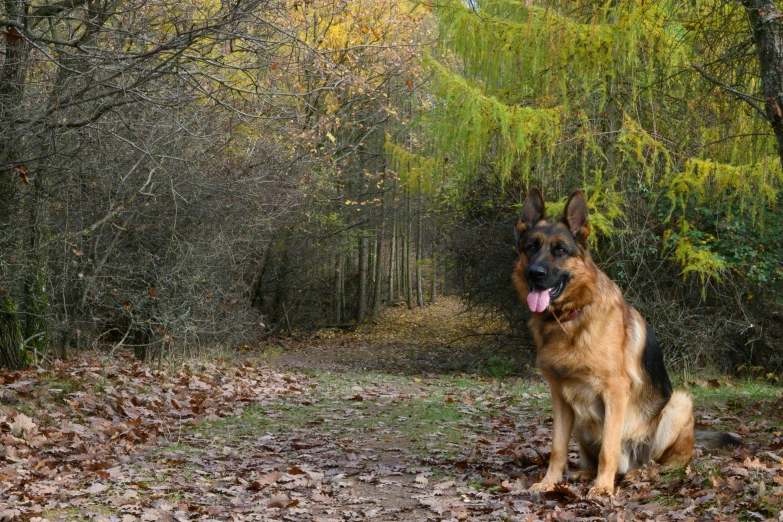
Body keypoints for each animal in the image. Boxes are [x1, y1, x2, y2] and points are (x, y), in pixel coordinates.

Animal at [516, 188, 740, 496]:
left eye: (560, 250)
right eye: (531, 247)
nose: (535, 274)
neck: (572, 316)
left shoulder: (615, 391)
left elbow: (609, 448)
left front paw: (602, 489)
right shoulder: (560, 397)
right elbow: (557, 448)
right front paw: (550, 482)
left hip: (678, 405)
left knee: (660, 463)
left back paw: (638, 474)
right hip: (583, 423)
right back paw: (585, 473)